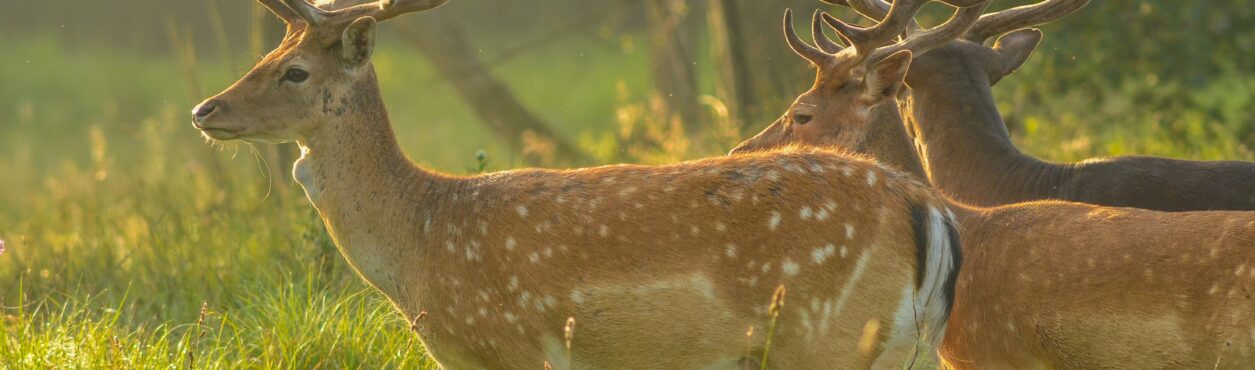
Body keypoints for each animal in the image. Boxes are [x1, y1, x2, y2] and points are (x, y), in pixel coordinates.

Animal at [190, 0, 963, 368]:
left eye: (295, 72)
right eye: (268, 53)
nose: (206, 110)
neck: (421, 241)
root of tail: (927, 209)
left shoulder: (515, 345)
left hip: (824, 337)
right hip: (904, 350)